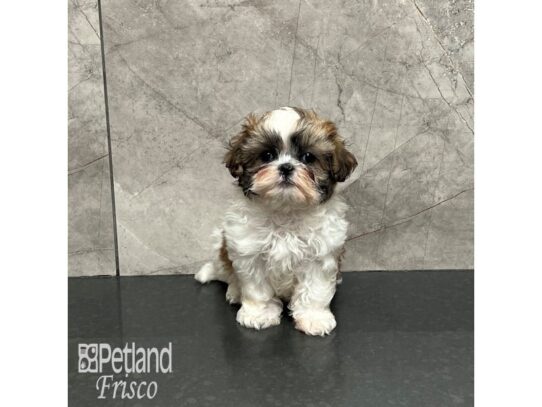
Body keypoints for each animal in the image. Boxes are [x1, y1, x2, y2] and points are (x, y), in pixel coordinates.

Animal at [194, 107, 356, 336]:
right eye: (267, 155)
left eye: (308, 157)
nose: (286, 167)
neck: (285, 212)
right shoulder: (250, 253)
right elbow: (257, 289)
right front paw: (258, 315)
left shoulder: (320, 256)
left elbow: (315, 290)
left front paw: (314, 318)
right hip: (221, 244)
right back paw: (235, 291)